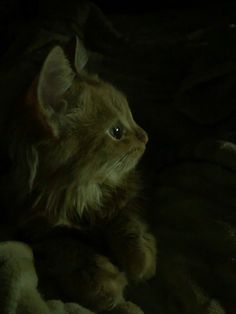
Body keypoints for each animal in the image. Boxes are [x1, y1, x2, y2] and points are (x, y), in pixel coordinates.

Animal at [1, 38, 158, 312]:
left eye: (131, 115)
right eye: (117, 132)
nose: (145, 137)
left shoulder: (124, 190)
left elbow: (126, 219)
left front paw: (140, 258)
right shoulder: (30, 229)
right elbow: (66, 248)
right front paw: (101, 281)